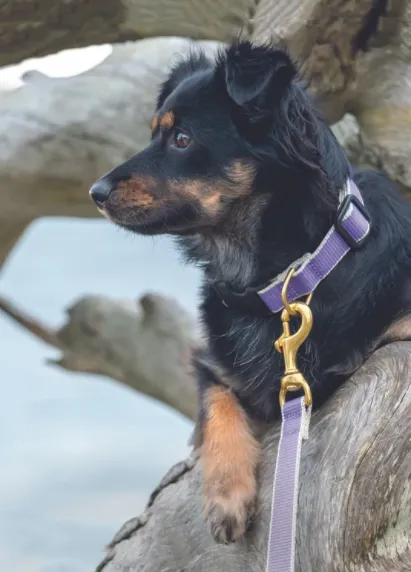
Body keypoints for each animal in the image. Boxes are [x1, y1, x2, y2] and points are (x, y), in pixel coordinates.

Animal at [88, 41, 411, 544]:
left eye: (182, 139)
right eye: (155, 133)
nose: (95, 192)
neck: (284, 281)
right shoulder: (212, 364)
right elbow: (216, 403)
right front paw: (226, 496)